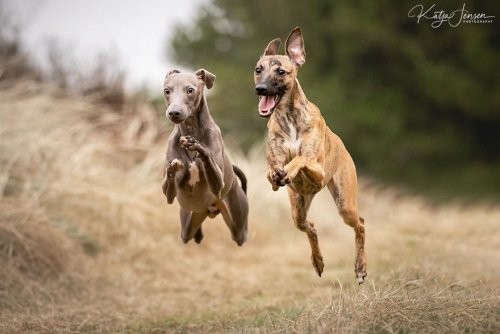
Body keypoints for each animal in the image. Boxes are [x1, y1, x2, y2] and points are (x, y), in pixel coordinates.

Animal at [254, 28, 368, 284]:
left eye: (281, 71)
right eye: (258, 69)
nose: (261, 89)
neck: (289, 116)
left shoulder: (318, 170)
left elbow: (300, 159)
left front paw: (289, 168)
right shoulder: (273, 173)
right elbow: (272, 170)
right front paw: (278, 172)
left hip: (345, 203)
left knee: (360, 225)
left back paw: (360, 268)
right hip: (298, 209)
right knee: (311, 227)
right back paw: (318, 261)